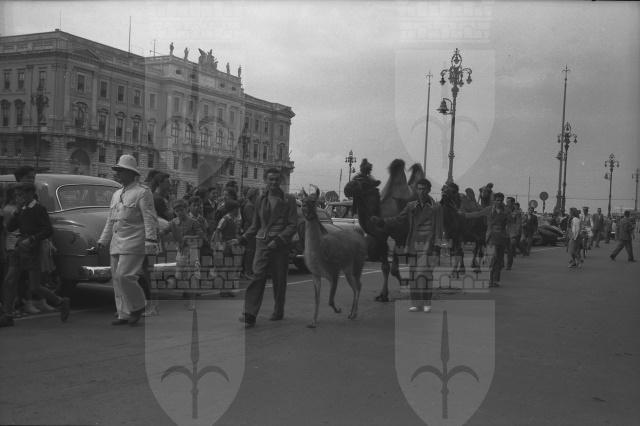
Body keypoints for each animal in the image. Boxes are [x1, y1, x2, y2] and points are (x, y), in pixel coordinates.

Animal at [344, 159, 424, 302]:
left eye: (364, 182)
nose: (346, 188)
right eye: (354, 177)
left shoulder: (399, 236)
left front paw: (405, 282)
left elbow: (394, 268)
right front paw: (383, 295)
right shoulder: (381, 237)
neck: (381, 212)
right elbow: (385, 267)